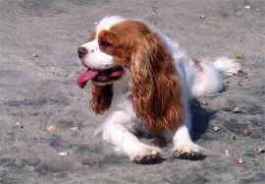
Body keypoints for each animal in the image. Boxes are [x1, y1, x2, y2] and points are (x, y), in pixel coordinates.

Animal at [76, 15, 239, 162]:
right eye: (92, 39)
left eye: (106, 43)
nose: (80, 50)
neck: (135, 88)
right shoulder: (113, 123)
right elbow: (126, 135)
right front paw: (142, 150)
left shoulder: (174, 109)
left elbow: (182, 130)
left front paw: (187, 146)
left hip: (207, 85)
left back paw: (224, 65)